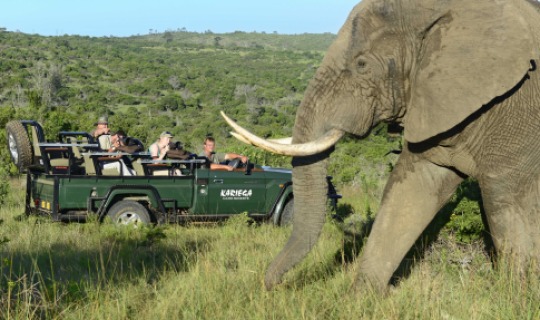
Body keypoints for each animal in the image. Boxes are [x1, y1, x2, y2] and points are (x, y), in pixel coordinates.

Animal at [219, 0, 540, 292]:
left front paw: (515, 299)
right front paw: (360, 299)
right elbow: (410, 189)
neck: (441, 10)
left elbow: (503, 200)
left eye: (361, 65)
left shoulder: (516, 105)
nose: (271, 285)